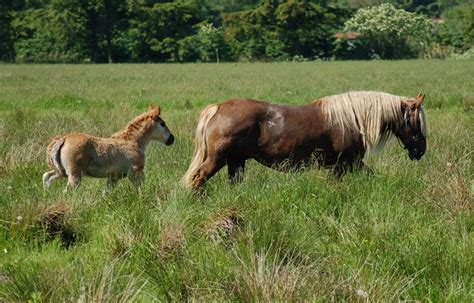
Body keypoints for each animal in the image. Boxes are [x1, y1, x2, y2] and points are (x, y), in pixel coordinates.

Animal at [182, 91, 426, 189]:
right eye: (417, 121)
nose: (421, 150)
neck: (351, 118)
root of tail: (219, 107)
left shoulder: (347, 164)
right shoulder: (346, 163)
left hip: (236, 162)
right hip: (218, 159)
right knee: (197, 179)